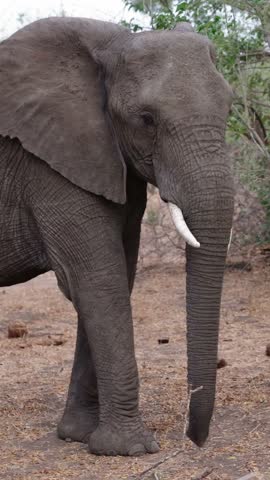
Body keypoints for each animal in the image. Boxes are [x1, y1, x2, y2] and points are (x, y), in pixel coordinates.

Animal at [0, 16, 233, 456]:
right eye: (146, 119)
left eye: (229, 108)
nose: (193, 438)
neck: (112, 45)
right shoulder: (49, 162)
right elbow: (97, 280)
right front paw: (129, 450)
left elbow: (117, 275)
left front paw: (79, 436)